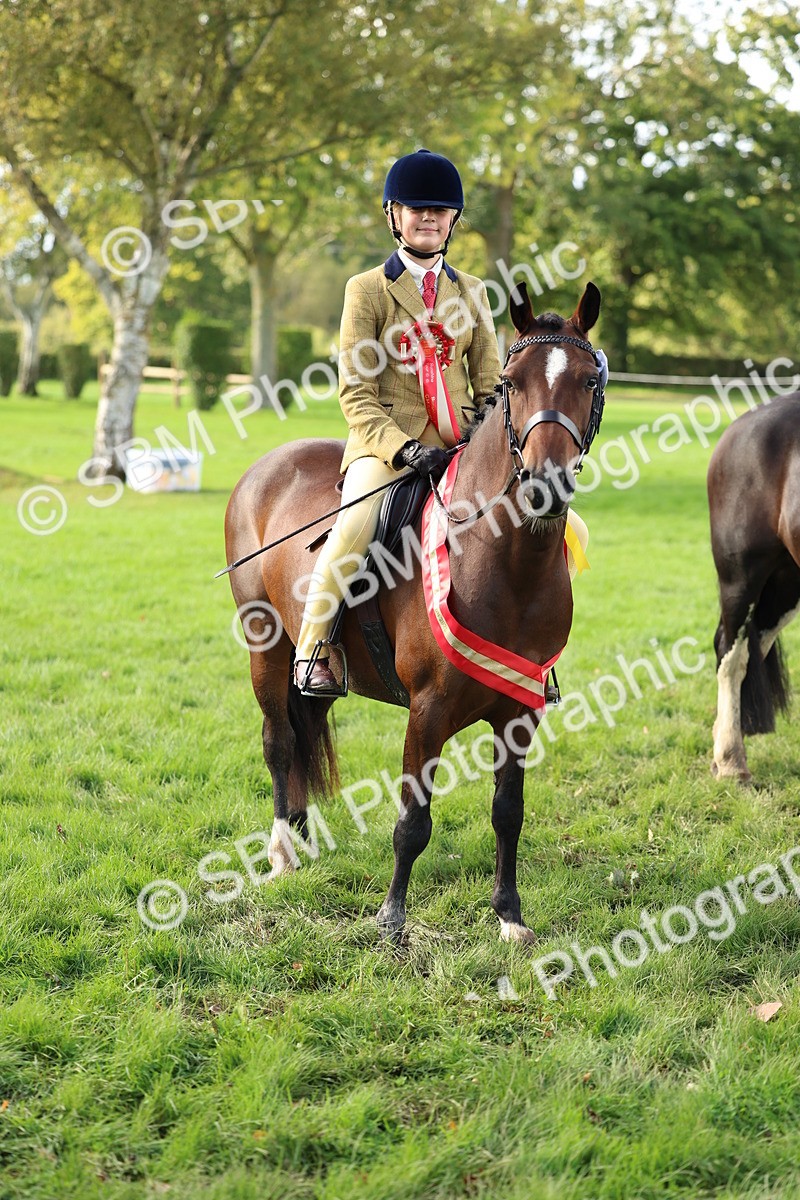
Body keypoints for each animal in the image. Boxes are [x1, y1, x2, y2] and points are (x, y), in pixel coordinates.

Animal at [224, 281, 606, 941]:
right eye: (511, 383)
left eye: (588, 380)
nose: (543, 485)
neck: (505, 561)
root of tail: (267, 466)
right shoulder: (427, 712)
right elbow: (413, 821)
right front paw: (391, 919)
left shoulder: (520, 712)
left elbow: (508, 812)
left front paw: (509, 916)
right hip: (264, 645)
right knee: (278, 740)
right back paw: (282, 851)